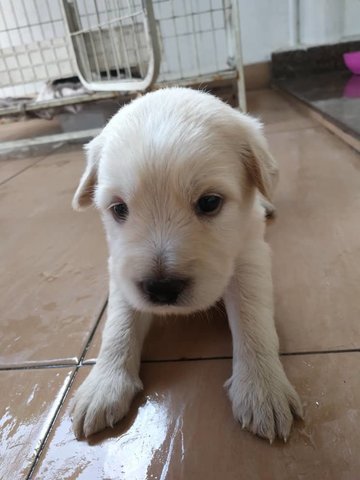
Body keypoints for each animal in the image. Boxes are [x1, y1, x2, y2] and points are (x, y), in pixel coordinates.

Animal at [69, 87, 300, 442]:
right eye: (118, 209)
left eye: (209, 203)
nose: (162, 289)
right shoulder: (121, 268)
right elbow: (119, 323)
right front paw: (104, 385)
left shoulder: (249, 254)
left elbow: (253, 317)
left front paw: (263, 388)